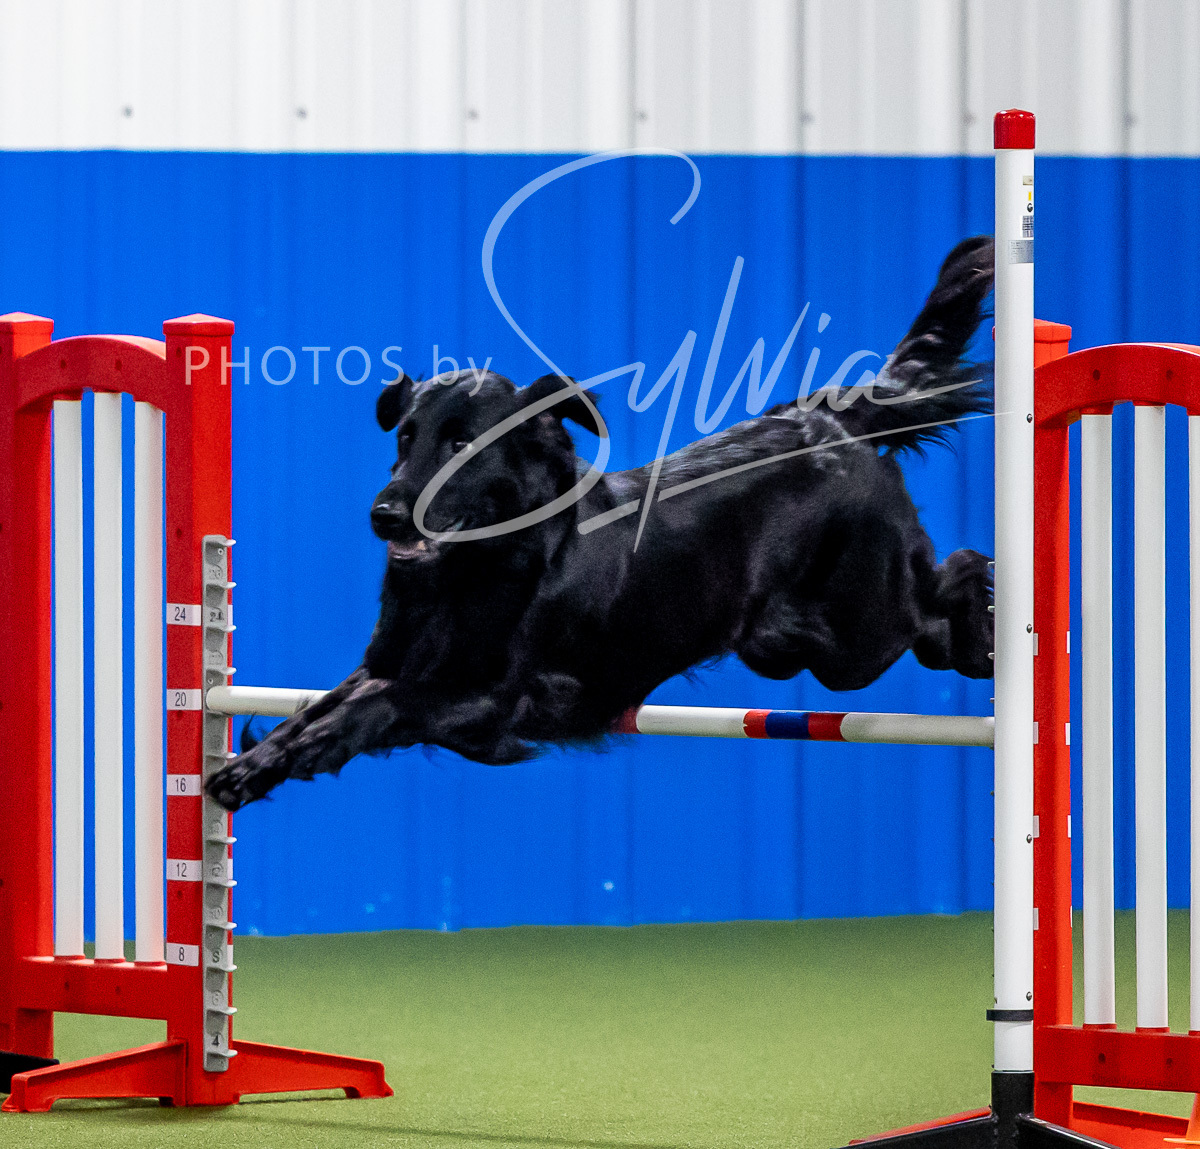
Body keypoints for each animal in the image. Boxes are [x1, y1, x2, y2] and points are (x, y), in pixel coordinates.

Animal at [206, 236, 995, 812]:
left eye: (461, 443)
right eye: (405, 436)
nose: (385, 514)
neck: (476, 566)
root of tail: (830, 421)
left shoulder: (502, 697)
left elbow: (375, 706)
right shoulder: (389, 659)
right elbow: (318, 707)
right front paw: (250, 766)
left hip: (858, 630)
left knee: (958, 570)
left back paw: (988, 631)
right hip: (789, 645)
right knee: (932, 622)